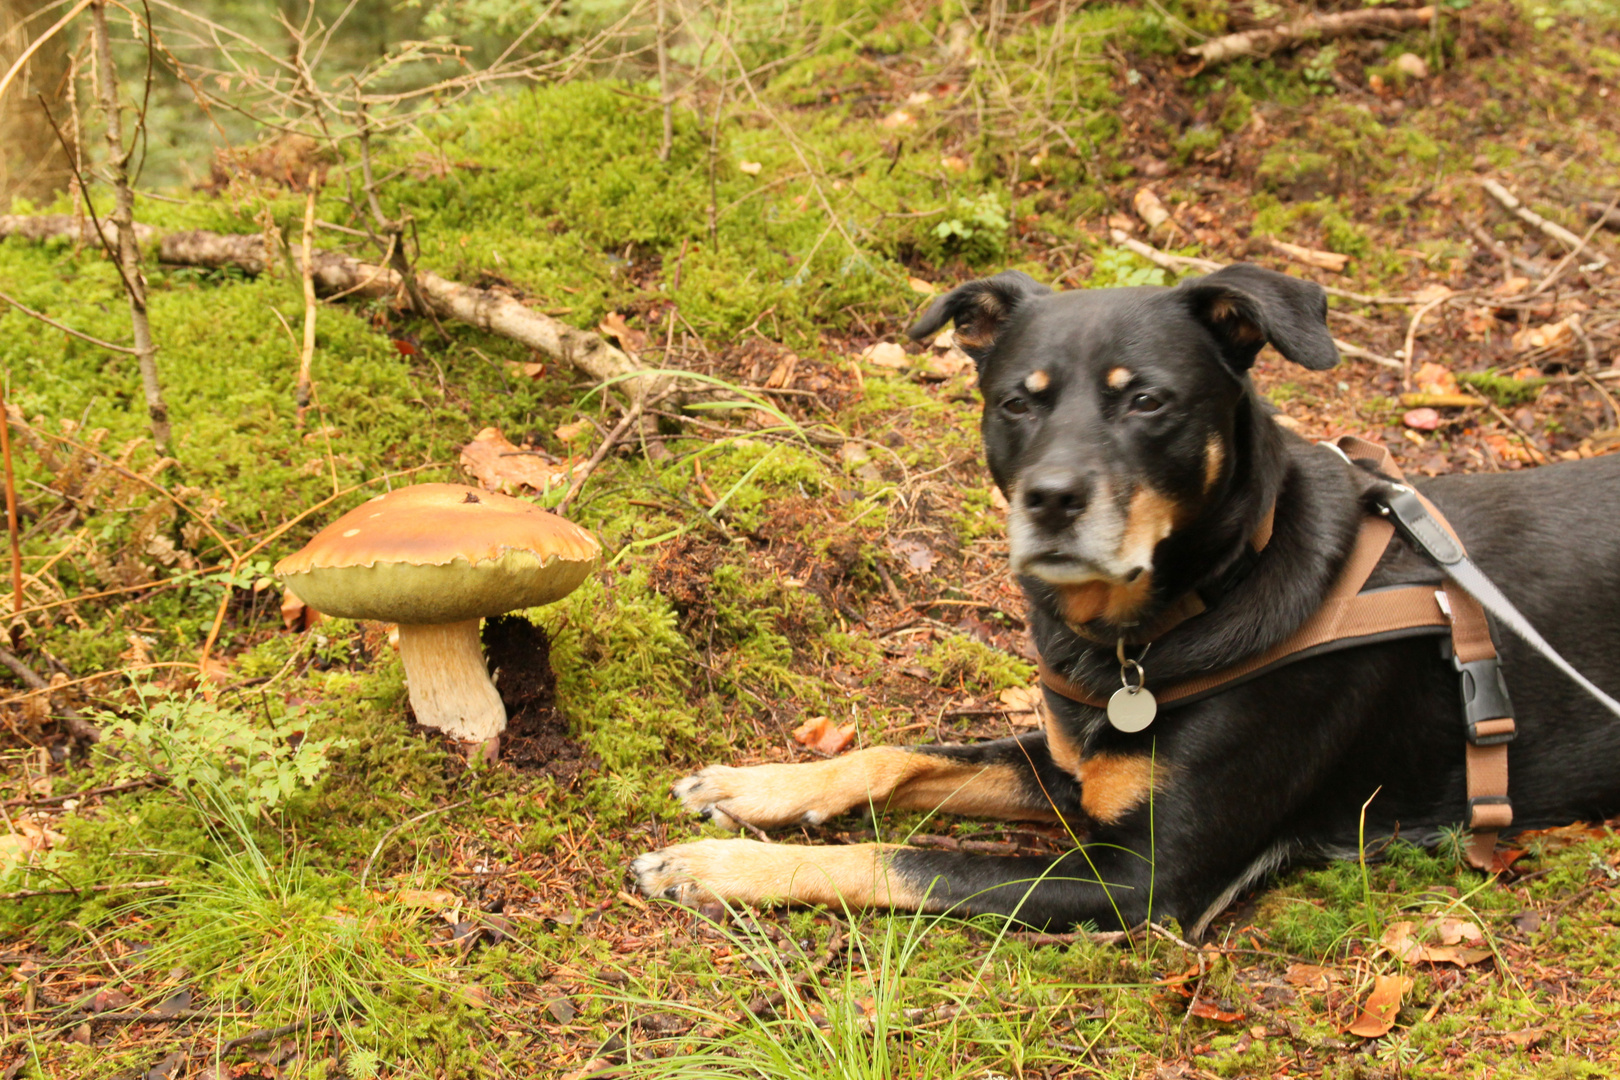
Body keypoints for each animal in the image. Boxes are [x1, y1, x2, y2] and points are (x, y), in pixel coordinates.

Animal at [628, 263, 1620, 939]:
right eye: (1016, 403)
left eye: (1146, 400)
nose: (1051, 500)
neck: (1165, 625)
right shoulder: (1079, 764)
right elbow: (897, 755)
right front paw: (757, 787)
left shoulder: (1143, 881)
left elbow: (906, 859)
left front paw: (722, 867)